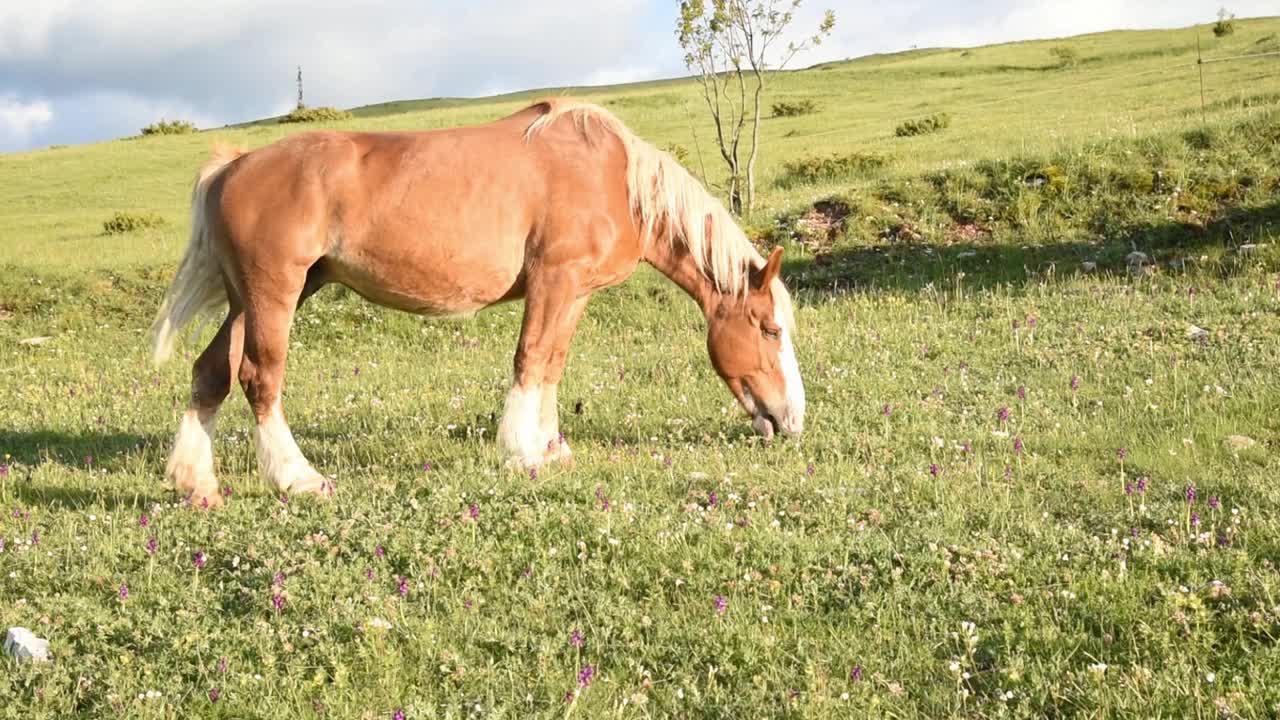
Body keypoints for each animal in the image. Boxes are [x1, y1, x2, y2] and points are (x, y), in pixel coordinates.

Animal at [149, 98, 803, 507]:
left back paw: (196, 482)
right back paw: (297, 478)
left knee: (211, 373)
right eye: (770, 329)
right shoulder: (555, 281)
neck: (614, 179)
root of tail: (232, 166)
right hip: (274, 294)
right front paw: (522, 451)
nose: (791, 420)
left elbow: (552, 365)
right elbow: (531, 360)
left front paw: (551, 447)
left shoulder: (574, 293)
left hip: (254, 299)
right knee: (260, 377)